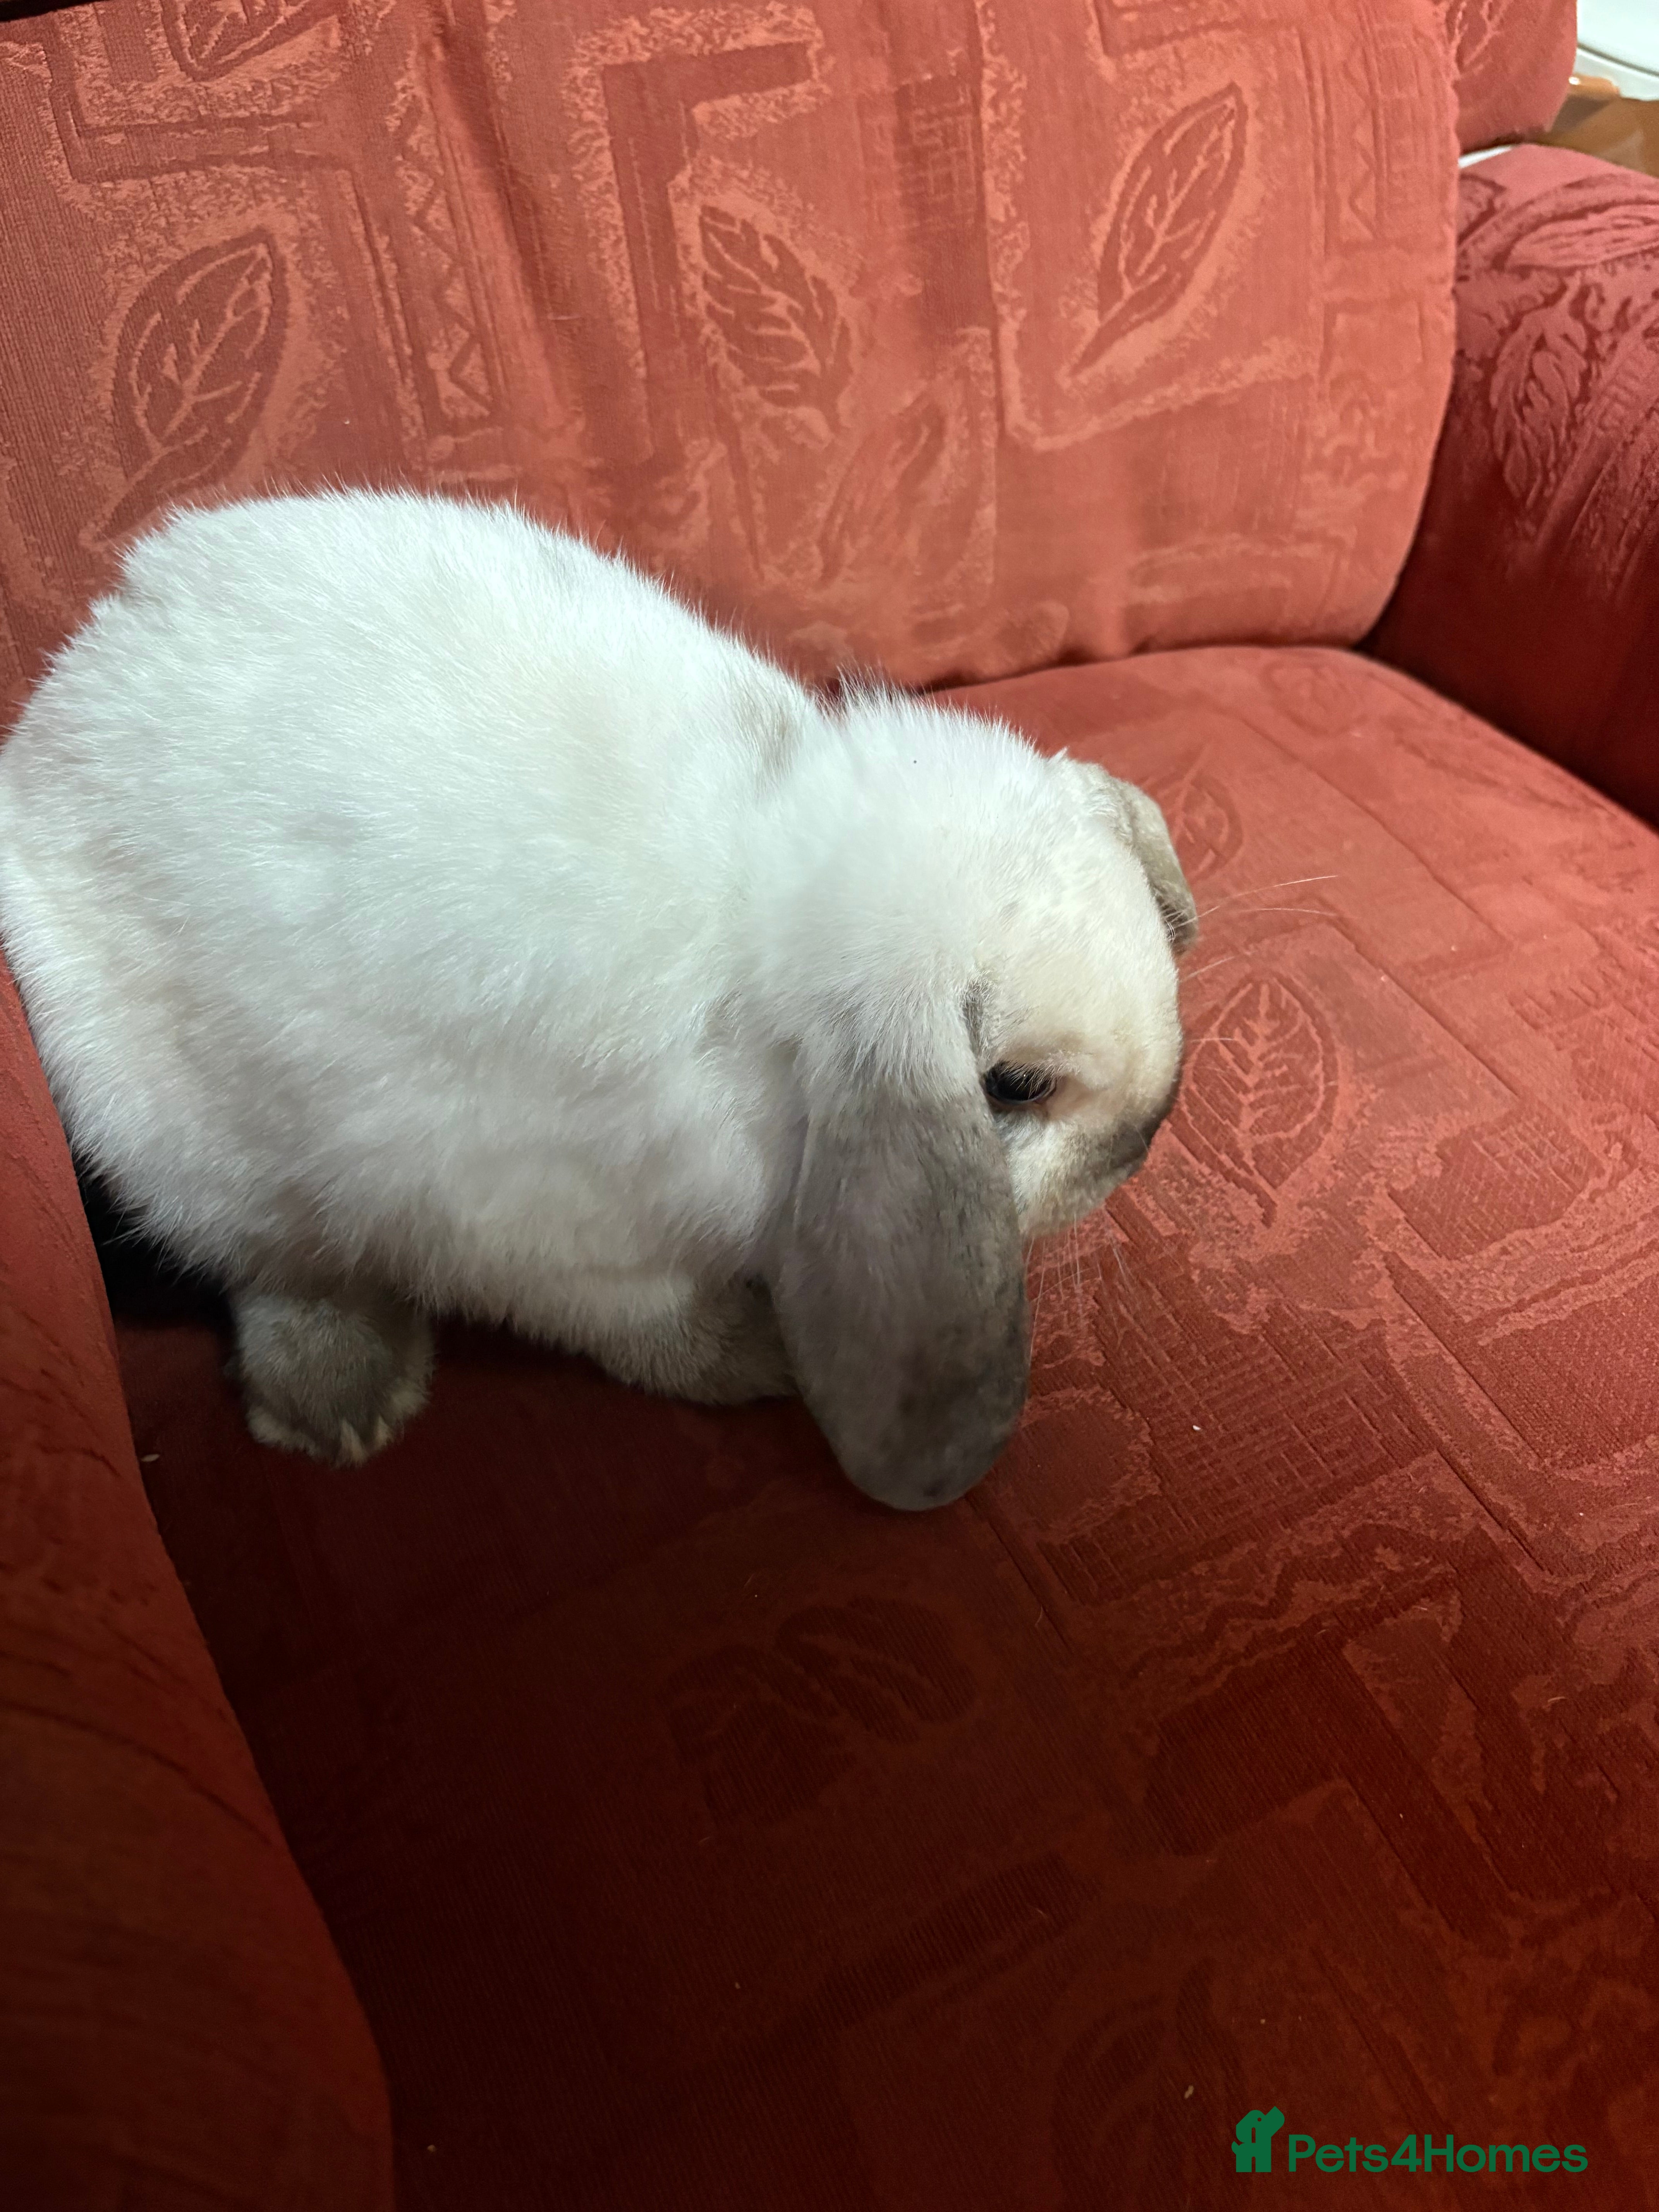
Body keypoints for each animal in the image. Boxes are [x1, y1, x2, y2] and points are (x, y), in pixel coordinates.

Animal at [0, 490, 1195, 1510]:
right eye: (1015, 1086)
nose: (1144, 1143)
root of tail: (54, 716)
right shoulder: (557, 1240)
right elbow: (656, 1332)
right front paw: (763, 1356)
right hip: (176, 1141)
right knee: (272, 1268)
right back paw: (347, 1405)